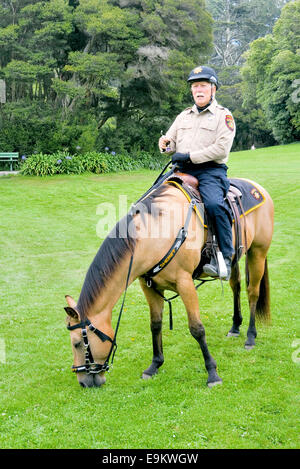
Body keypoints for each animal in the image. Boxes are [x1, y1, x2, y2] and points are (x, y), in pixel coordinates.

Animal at [65, 176, 274, 388]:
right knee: (236, 287)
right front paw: (154, 365)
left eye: (77, 343)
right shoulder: (148, 286)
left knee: (253, 292)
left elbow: (197, 328)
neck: (154, 235)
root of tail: (258, 188)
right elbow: (155, 324)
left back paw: (250, 336)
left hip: (258, 251)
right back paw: (235, 327)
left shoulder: (185, 283)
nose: (83, 382)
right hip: (234, 258)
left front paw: (212, 372)